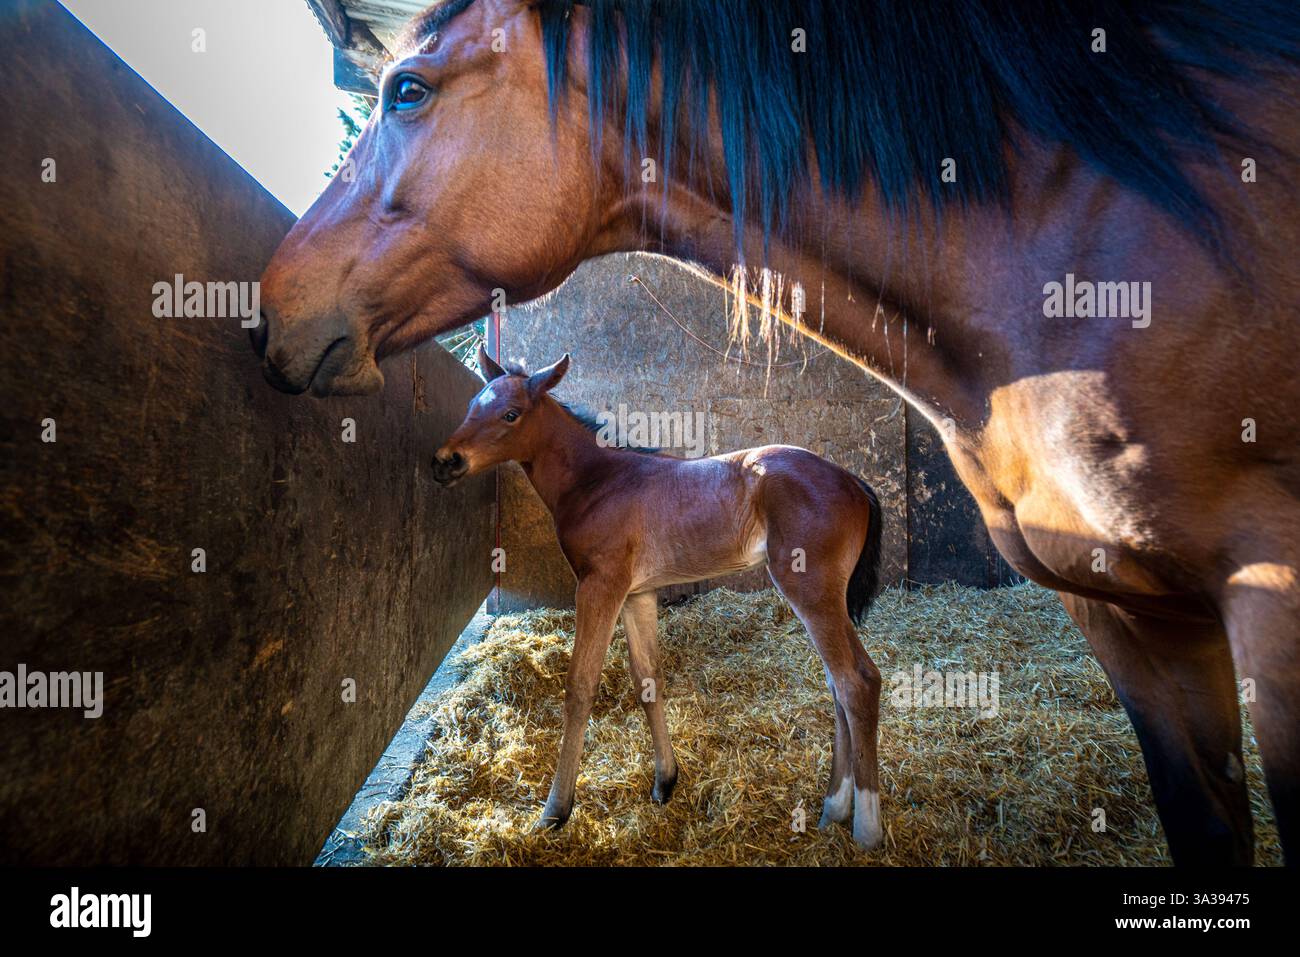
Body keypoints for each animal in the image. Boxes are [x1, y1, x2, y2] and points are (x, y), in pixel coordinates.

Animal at [430, 346, 886, 846]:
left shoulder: (600, 585)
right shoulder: (638, 594)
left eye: (510, 414)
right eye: (473, 404)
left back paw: (866, 828)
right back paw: (833, 809)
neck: (599, 481)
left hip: (810, 588)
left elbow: (580, 687)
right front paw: (665, 782)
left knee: (856, 682)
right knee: (841, 682)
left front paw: (555, 811)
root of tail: (853, 482)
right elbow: (648, 680)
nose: (445, 461)